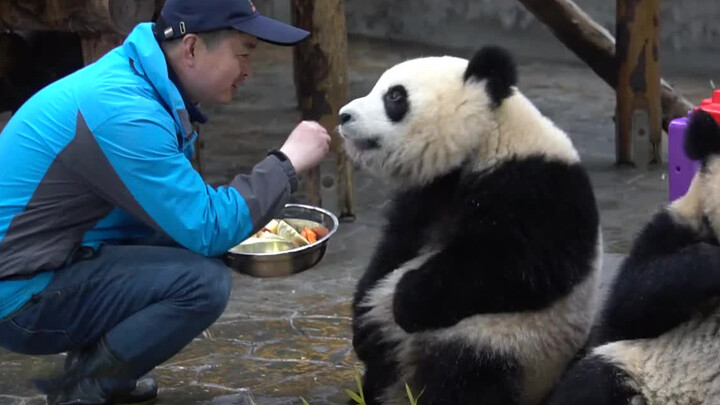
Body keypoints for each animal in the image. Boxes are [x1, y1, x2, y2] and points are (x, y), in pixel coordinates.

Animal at [338, 46, 600, 404]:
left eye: (394, 96)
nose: (343, 116)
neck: (487, 139)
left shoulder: (538, 189)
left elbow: (517, 265)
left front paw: (406, 298)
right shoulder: (428, 194)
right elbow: (394, 247)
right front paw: (362, 322)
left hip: (509, 342)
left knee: (464, 375)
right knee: (384, 360)